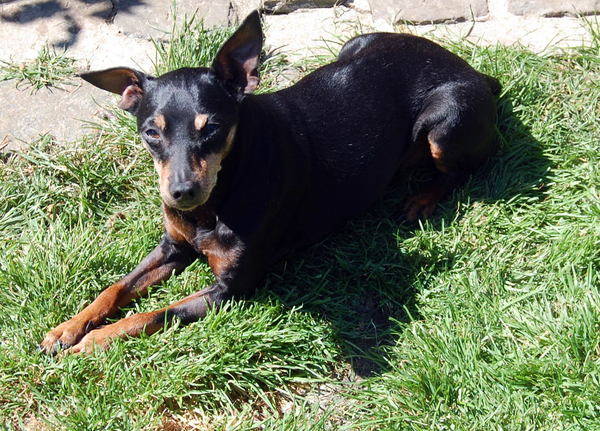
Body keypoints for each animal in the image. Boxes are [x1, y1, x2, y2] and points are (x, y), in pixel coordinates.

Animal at [39, 11, 502, 354]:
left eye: (213, 128)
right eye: (151, 132)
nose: (182, 193)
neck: (219, 197)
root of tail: (479, 73)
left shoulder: (234, 287)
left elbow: (156, 313)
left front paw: (97, 340)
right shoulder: (173, 246)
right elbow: (116, 287)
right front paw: (69, 328)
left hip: (445, 119)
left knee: (464, 170)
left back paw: (423, 199)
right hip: (355, 44)